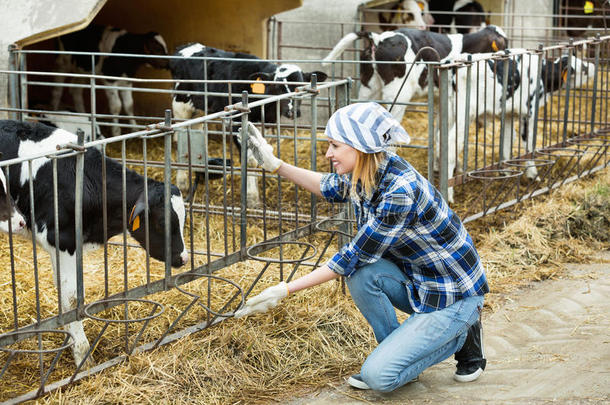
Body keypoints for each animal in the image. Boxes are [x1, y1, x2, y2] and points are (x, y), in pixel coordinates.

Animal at [169, 43, 326, 205]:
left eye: (301, 85)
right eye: (278, 87)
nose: (292, 111)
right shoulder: (236, 122)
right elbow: (250, 160)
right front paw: (252, 198)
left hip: (199, 110)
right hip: (180, 107)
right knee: (180, 139)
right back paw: (182, 183)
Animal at [440, 50, 592, 202]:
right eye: (583, 69)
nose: (592, 66)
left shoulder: (508, 114)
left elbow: (507, 141)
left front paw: (505, 172)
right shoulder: (529, 112)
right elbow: (528, 144)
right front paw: (533, 174)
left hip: (450, 113)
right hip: (465, 114)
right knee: (451, 146)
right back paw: (449, 194)